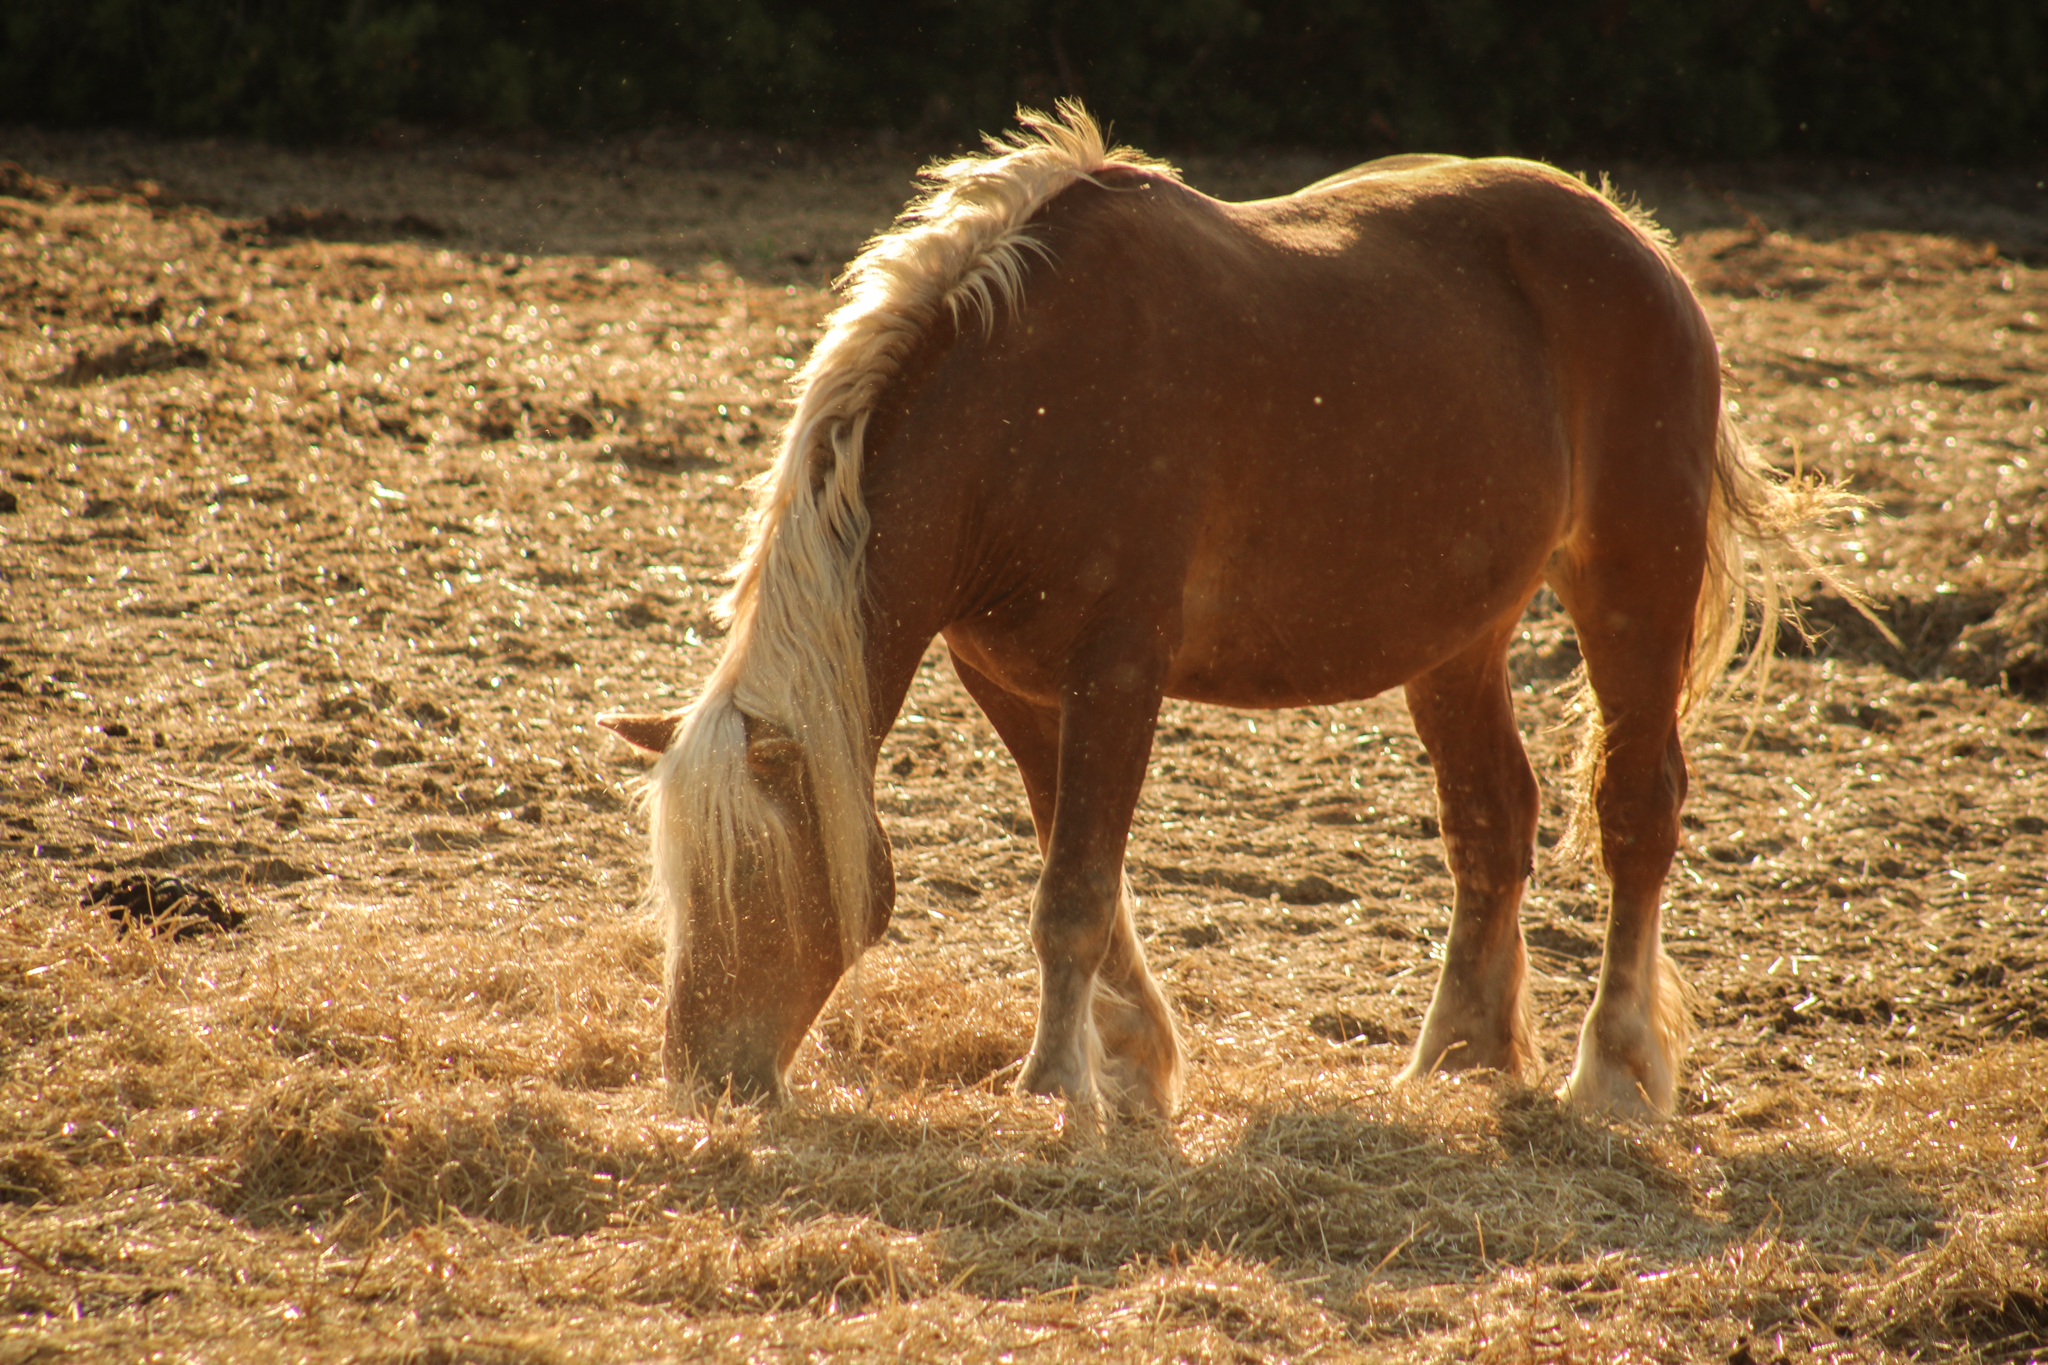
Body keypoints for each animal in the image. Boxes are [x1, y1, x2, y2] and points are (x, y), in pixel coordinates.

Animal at [599, 103, 1824, 1122]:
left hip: (1631, 582)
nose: (705, 1079)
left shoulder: (1118, 671)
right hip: (1458, 637)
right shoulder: (1012, 682)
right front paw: (1131, 1063)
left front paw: (1056, 1088)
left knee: (1634, 812)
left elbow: (1073, 892)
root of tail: (1638, 243)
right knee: (1490, 823)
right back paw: (1455, 1060)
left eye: (758, 880)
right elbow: (1083, 879)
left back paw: (1609, 1073)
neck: (1017, 407)